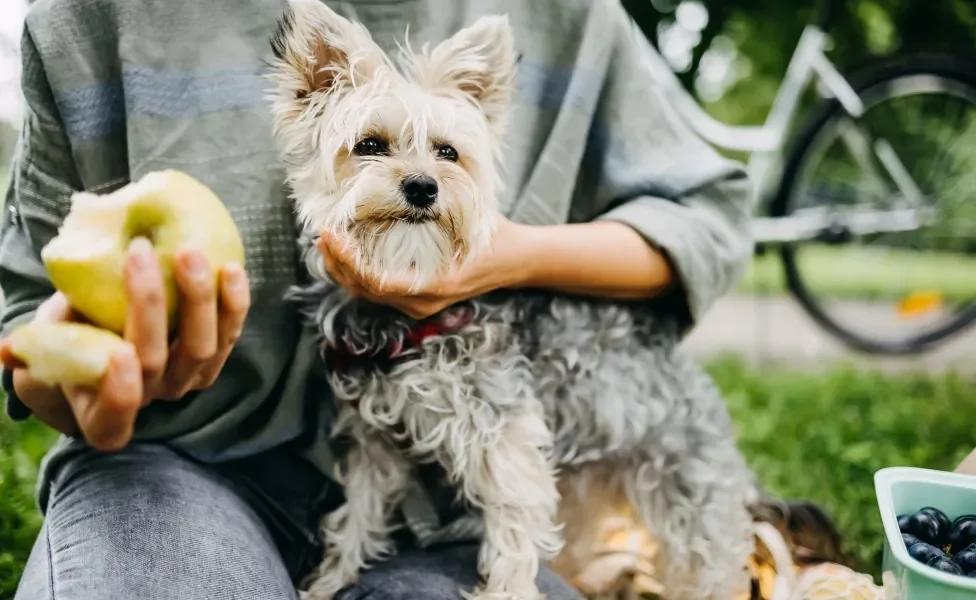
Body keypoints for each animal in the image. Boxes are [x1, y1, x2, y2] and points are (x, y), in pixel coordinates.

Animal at [268, 2, 764, 596]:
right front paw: (327, 583)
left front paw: (505, 589)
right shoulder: (374, 442)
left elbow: (513, 525)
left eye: (448, 152)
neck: (399, 314)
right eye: (369, 145)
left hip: (690, 496)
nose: (423, 186)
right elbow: (356, 519)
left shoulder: (504, 437)